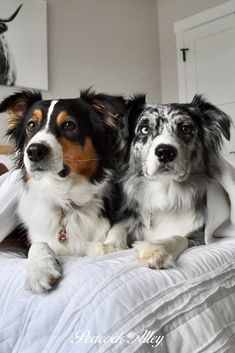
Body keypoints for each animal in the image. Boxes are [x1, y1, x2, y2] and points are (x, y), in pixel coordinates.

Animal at [0, 88, 126, 292]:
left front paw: (105, 248)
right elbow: (38, 244)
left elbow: (115, 235)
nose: (34, 151)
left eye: (69, 125)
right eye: (31, 125)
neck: (64, 197)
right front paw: (40, 270)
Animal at [106, 95, 231, 268]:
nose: (165, 152)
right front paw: (108, 246)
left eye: (186, 129)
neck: (165, 192)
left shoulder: (201, 235)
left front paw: (156, 248)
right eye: (145, 129)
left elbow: (179, 237)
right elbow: (119, 226)